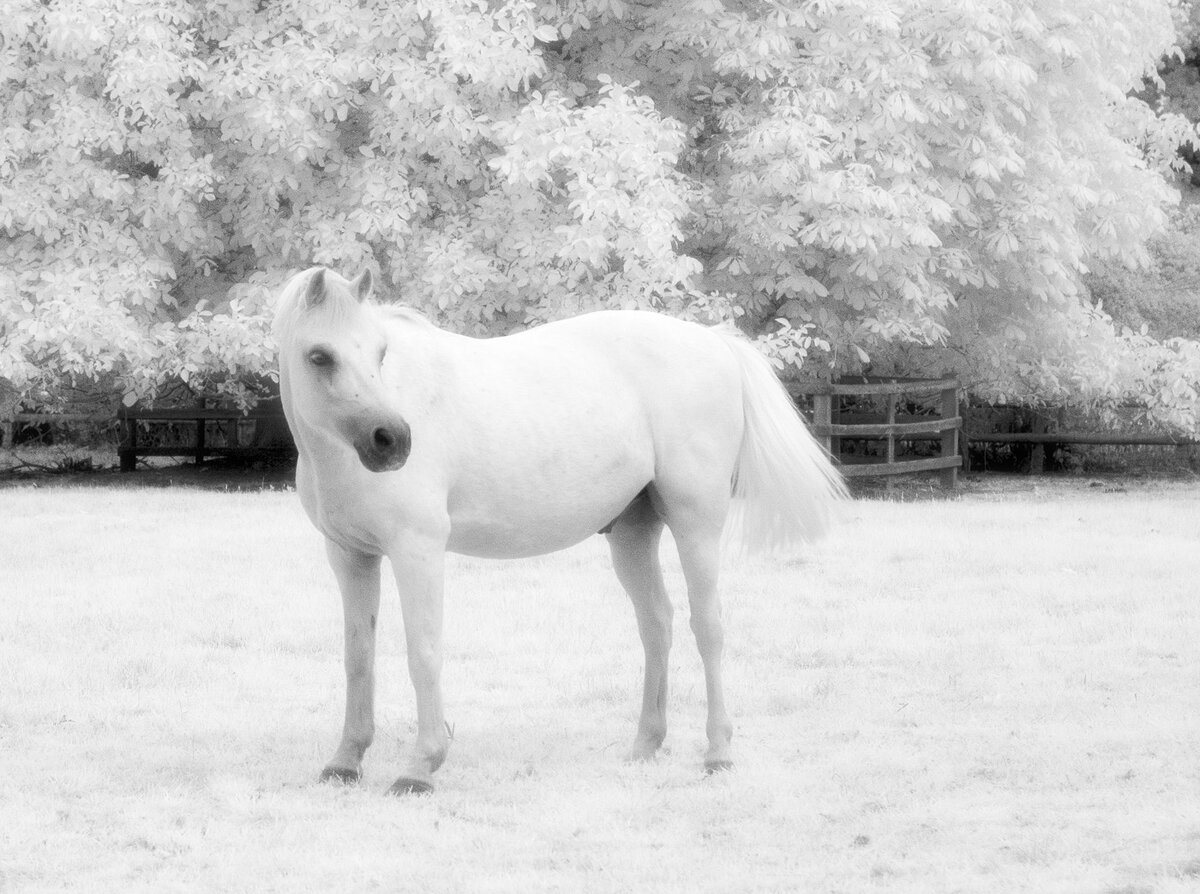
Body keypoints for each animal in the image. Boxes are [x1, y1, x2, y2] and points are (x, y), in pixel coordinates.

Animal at [273, 266, 845, 795]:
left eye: (381, 353)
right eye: (319, 355)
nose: (391, 440)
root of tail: (714, 342)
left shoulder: (418, 551)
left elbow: (423, 652)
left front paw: (421, 767)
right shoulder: (350, 556)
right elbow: (358, 658)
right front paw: (345, 761)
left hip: (696, 525)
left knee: (708, 628)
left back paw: (718, 752)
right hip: (633, 533)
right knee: (656, 626)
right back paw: (645, 745)